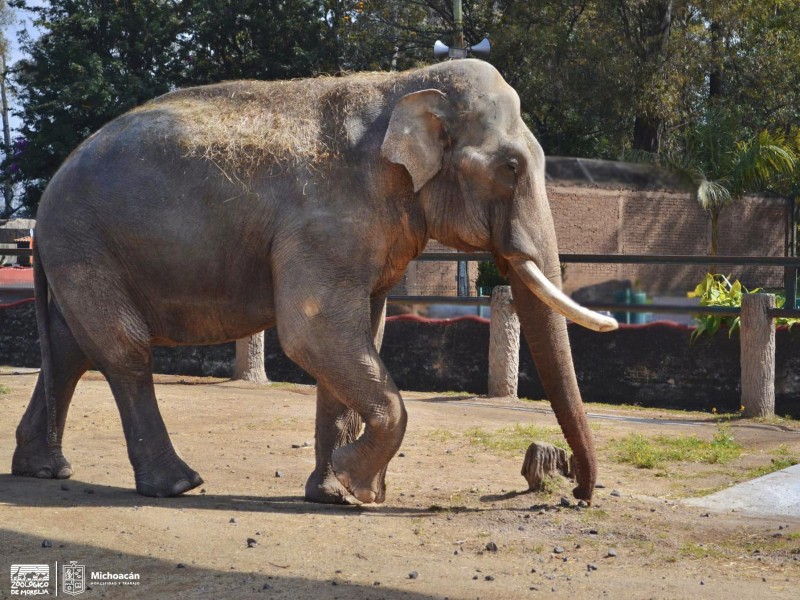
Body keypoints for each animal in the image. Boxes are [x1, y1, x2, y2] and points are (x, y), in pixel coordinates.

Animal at [9, 57, 616, 506]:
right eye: (511, 168)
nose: (576, 493)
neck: (401, 84)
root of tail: (42, 203)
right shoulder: (325, 227)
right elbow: (314, 334)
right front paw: (356, 486)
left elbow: (359, 337)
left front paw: (335, 494)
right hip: (85, 243)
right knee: (122, 347)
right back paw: (178, 484)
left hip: (81, 252)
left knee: (69, 346)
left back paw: (46, 470)